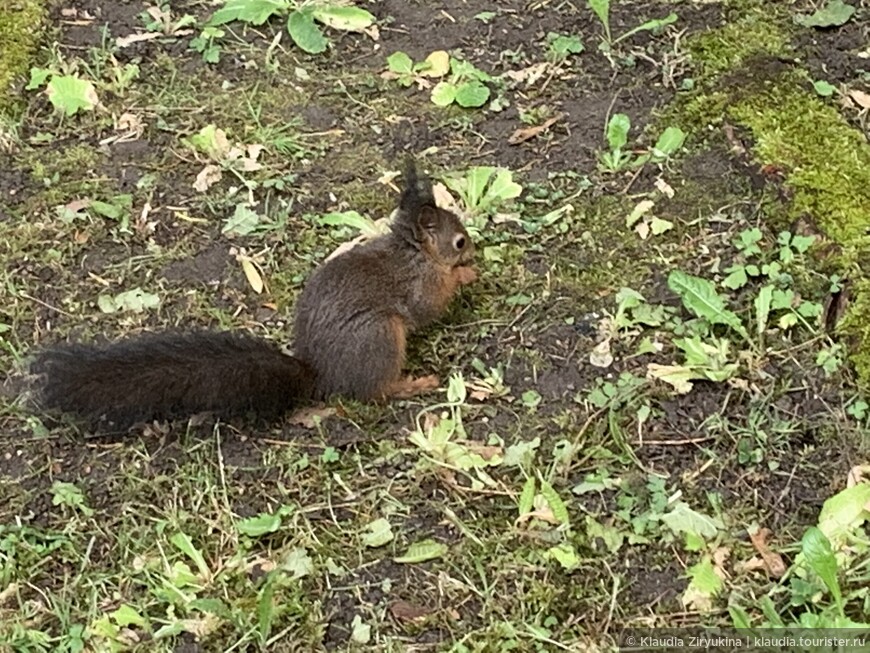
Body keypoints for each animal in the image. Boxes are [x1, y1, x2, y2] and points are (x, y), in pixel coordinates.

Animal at [30, 160, 476, 430]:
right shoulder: (419, 284)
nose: (471, 249)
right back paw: (412, 384)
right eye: (458, 241)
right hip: (379, 336)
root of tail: (320, 373)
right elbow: (429, 308)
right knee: (374, 392)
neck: (414, 252)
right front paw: (466, 274)